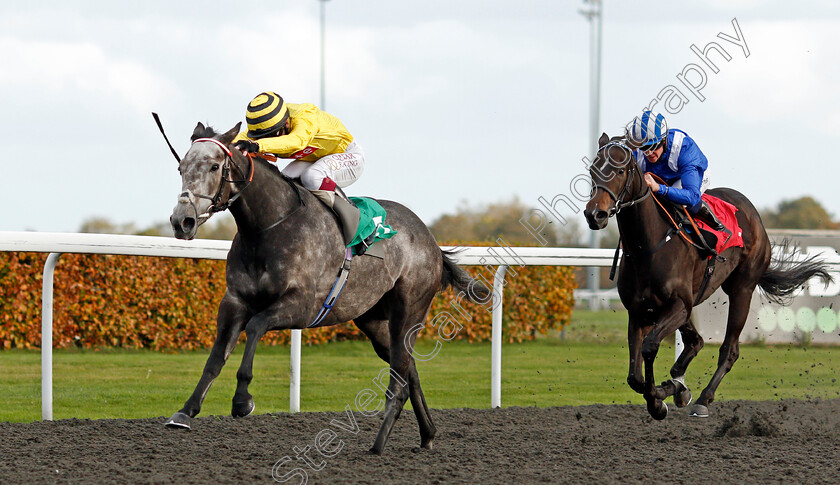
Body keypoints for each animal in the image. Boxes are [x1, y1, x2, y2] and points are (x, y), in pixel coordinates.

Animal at [164, 121, 486, 454]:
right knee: (410, 370)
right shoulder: (234, 301)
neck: (268, 228)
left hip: (409, 312)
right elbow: (215, 359)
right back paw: (427, 434)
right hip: (374, 321)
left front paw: (242, 401)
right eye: (181, 167)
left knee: (399, 376)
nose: (182, 221)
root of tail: (431, 239)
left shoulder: (302, 306)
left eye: (215, 166)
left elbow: (255, 327)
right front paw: (185, 412)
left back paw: (379, 444)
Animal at [580, 133, 832, 420]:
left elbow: (649, 348)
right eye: (592, 170)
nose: (595, 214)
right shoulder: (640, 311)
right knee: (696, 341)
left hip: (742, 289)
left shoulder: (678, 305)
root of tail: (752, 212)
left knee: (729, 350)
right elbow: (634, 376)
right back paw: (679, 384)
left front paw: (658, 400)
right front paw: (667, 391)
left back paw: (703, 398)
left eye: (621, 170)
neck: (647, 246)